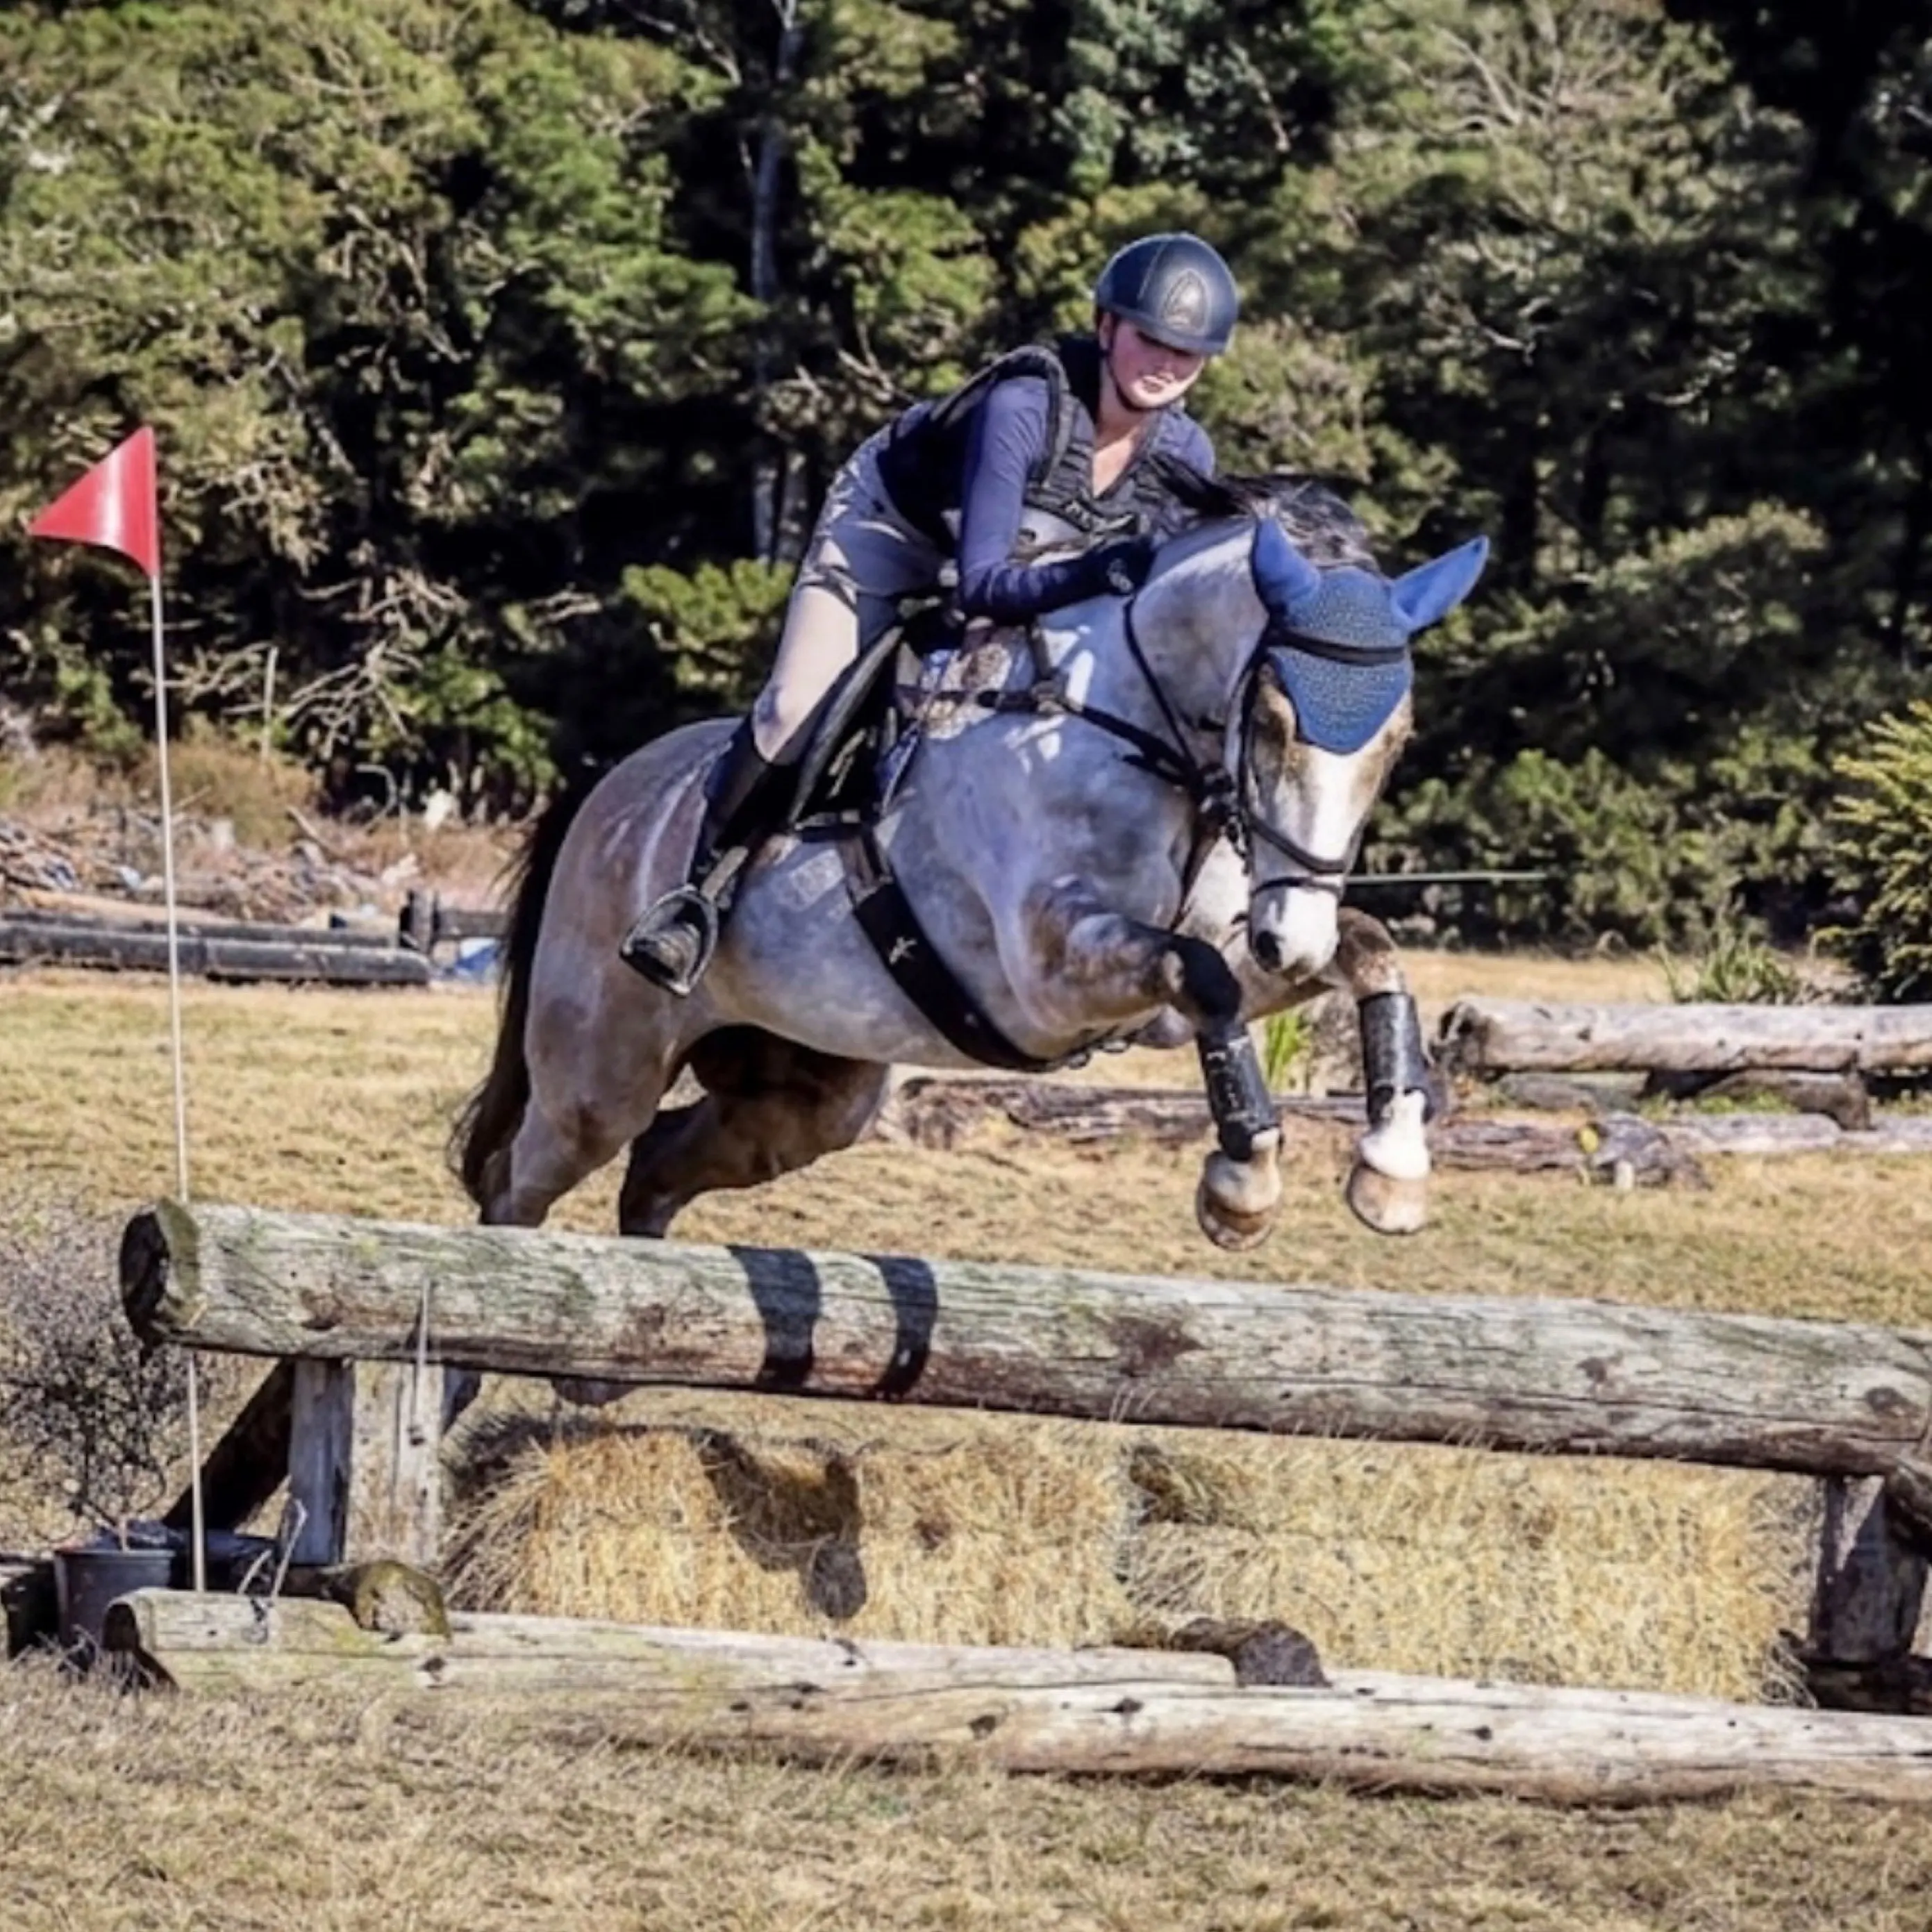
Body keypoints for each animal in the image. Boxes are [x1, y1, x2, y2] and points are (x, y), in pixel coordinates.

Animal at [452, 469, 1486, 1260]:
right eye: (1269, 721)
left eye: (1398, 740)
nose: (1288, 940)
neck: (1139, 732)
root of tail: (604, 790)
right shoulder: (1048, 981)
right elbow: (1202, 976)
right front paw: (1243, 1186)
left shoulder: (1179, 983)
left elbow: (1364, 951)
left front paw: (1392, 1171)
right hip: (601, 1075)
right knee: (519, 1186)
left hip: (807, 1091)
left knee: (659, 1167)